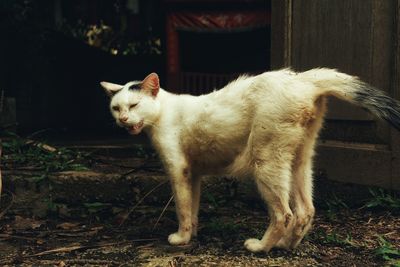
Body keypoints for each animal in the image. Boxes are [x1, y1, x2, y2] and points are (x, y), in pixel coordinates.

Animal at [101, 69, 400, 253]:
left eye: (134, 106)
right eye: (116, 108)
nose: (122, 120)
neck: (162, 113)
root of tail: (302, 79)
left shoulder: (179, 170)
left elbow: (182, 209)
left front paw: (182, 238)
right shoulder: (194, 173)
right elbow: (193, 208)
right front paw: (193, 234)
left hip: (266, 161)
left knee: (284, 213)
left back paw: (261, 247)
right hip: (299, 160)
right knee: (305, 210)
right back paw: (285, 246)